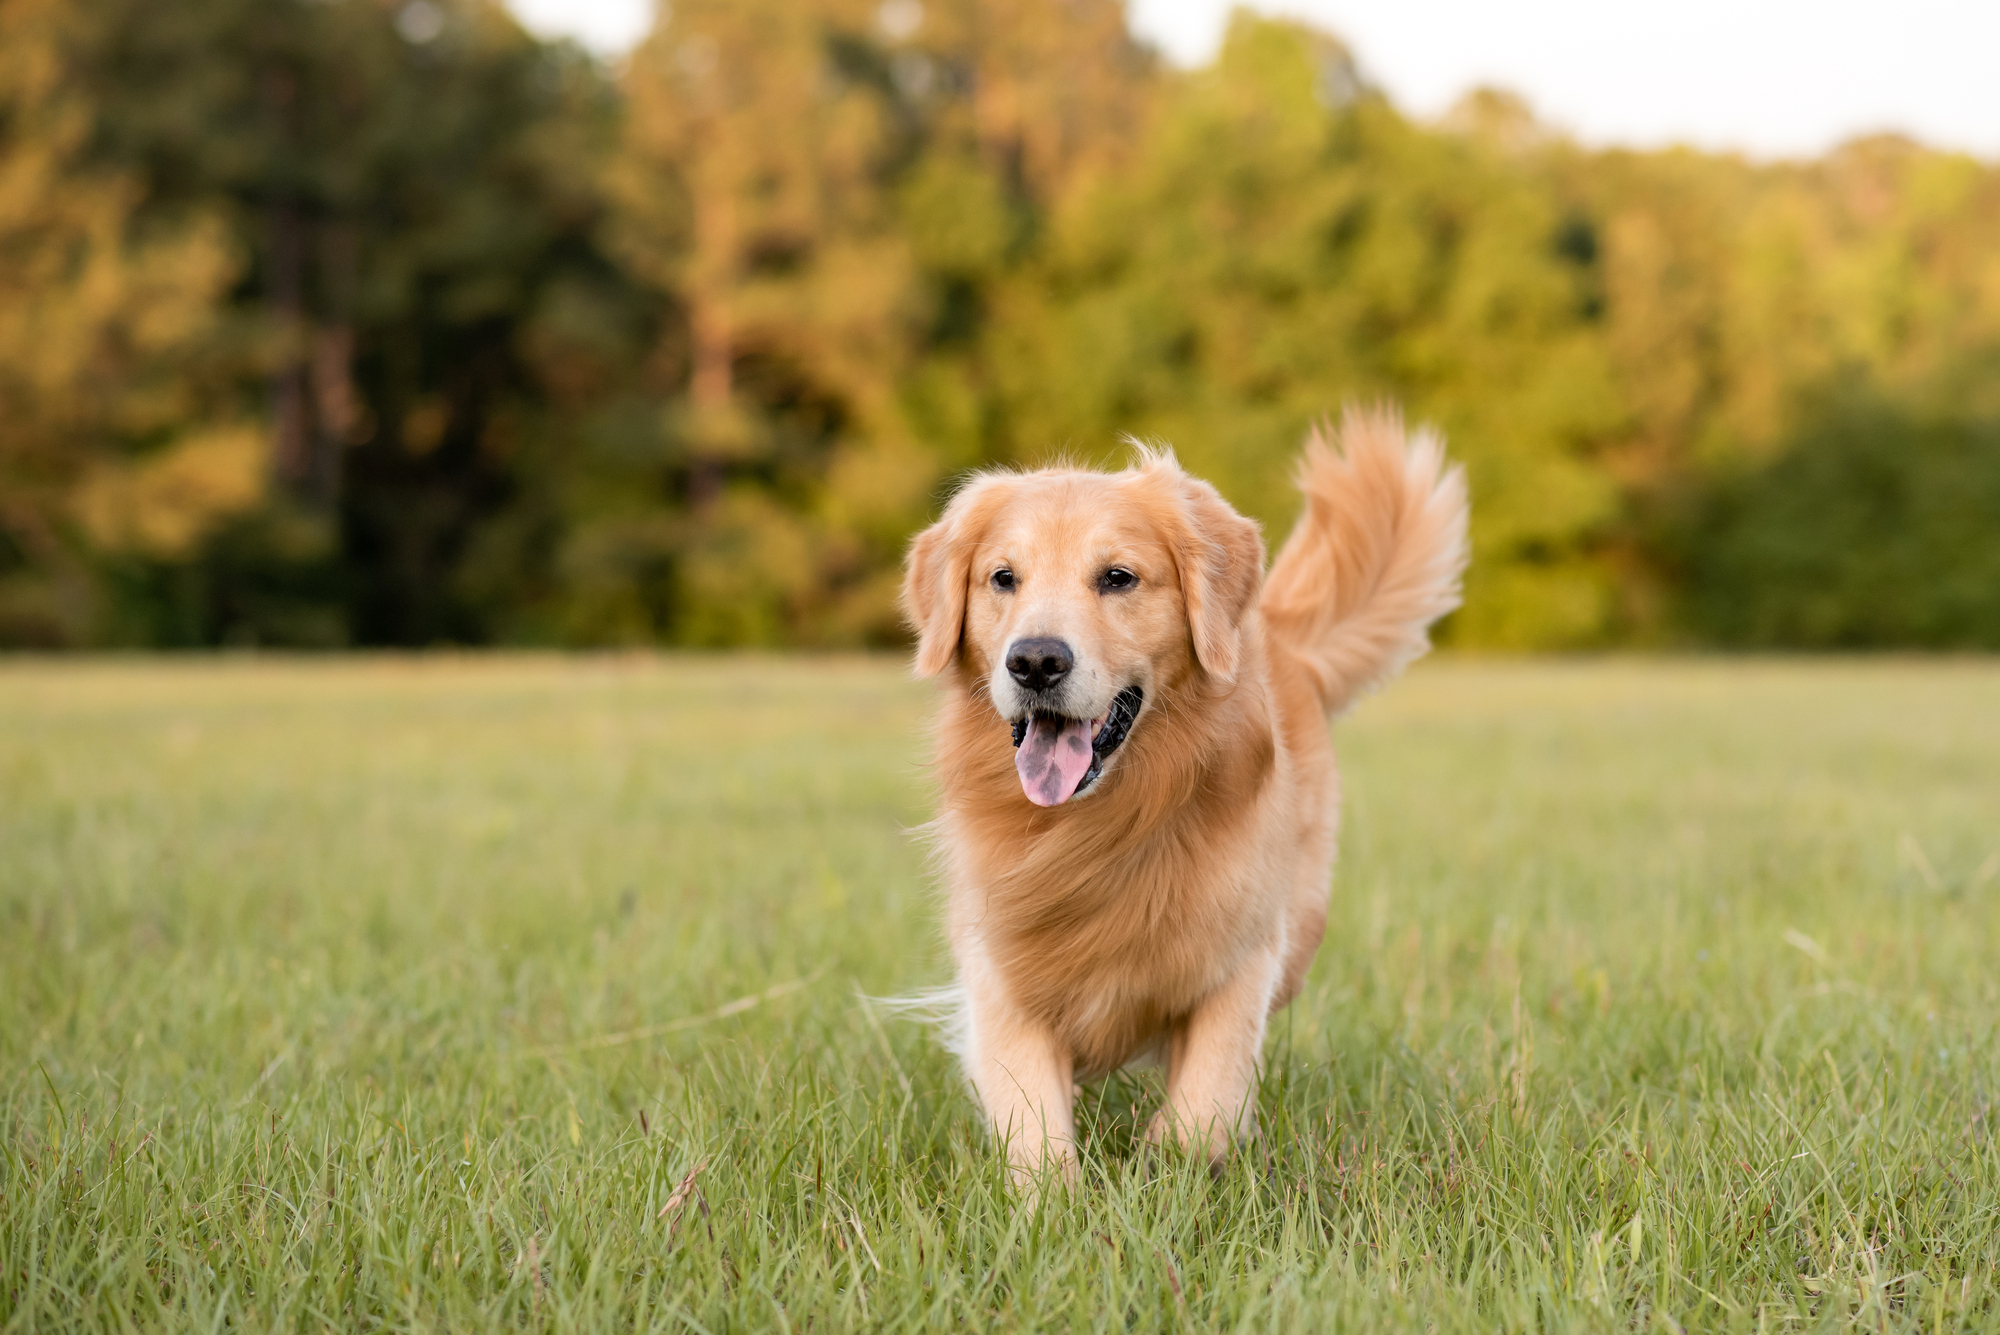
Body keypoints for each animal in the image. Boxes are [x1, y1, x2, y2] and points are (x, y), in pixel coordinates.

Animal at [900, 407, 1464, 1175]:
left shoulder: (1243, 953)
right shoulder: (1000, 972)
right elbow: (1035, 1125)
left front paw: (1167, 1169)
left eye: (1118, 577)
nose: (1036, 660)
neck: (1102, 826)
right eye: (1002, 578)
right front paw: (1055, 1196)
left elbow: (1206, 1104)